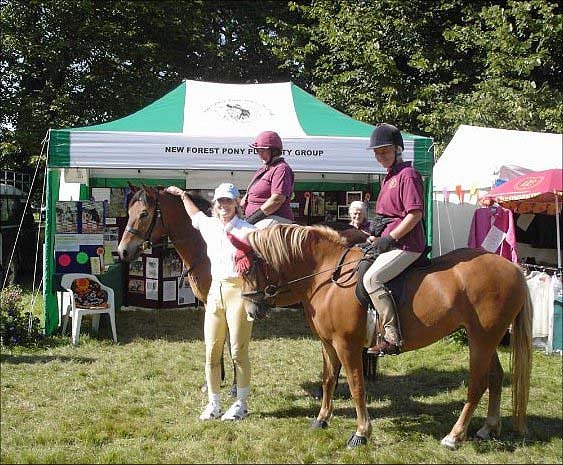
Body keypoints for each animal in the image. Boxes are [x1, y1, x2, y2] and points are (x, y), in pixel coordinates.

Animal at [240, 223, 532, 448]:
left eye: (247, 269)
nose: (251, 311)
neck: (327, 277)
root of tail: (513, 268)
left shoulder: (346, 346)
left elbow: (356, 386)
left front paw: (361, 433)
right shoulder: (328, 344)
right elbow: (328, 380)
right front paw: (322, 419)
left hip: (481, 339)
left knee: (477, 384)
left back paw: (455, 436)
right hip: (484, 338)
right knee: (495, 378)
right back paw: (488, 428)